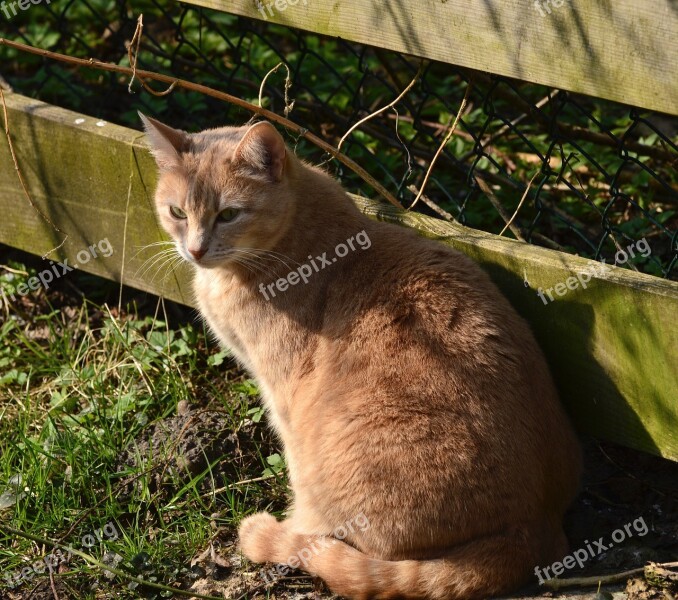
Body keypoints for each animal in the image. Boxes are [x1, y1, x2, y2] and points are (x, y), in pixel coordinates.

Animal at [141, 113, 580, 600]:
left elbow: (296, 475)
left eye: (229, 214)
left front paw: (291, 528)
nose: (195, 249)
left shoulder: (284, 397)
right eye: (178, 213)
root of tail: (531, 531)